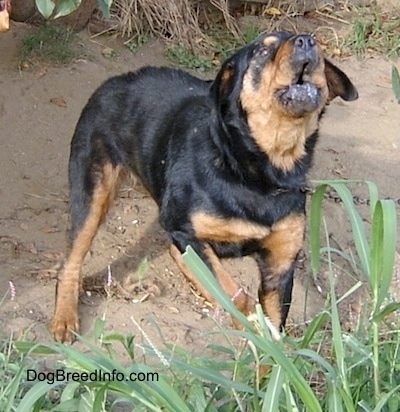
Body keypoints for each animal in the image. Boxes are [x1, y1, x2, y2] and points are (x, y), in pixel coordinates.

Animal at [50, 31, 360, 342]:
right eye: (262, 50)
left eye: (317, 47)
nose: (307, 40)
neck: (260, 171)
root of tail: (114, 81)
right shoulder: (185, 232)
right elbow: (237, 297)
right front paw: (248, 322)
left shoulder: (280, 264)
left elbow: (271, 330)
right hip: (92, 194)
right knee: (71, 261)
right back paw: (64, 318)